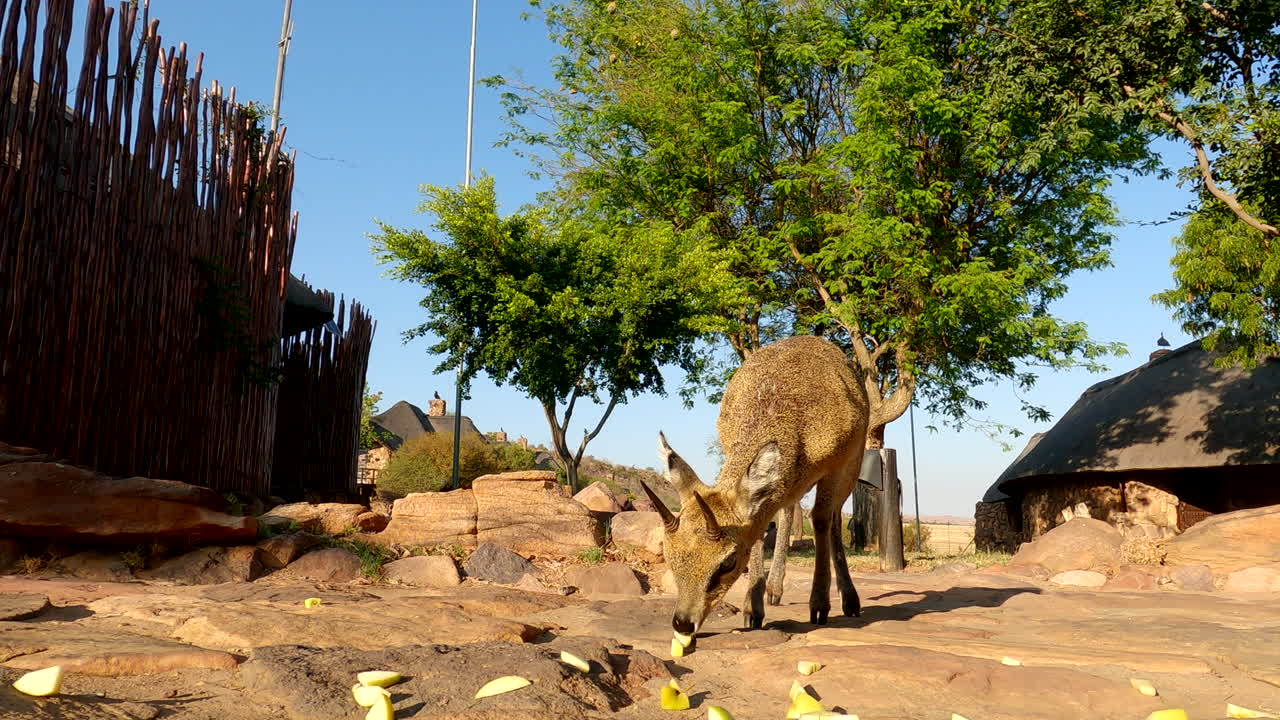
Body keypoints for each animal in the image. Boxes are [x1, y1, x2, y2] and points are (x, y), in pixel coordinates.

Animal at [640, 335, 869, 634]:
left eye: (728, 561)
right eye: (669, 554)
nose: (683, 623)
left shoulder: (836, 464)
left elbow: (821, 519)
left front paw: (819, 606)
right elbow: (761, 527)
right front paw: (752, 609)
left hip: (853, 466)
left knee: (832, 518)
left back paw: (849, 600)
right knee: (789, 509)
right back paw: (774, 590)